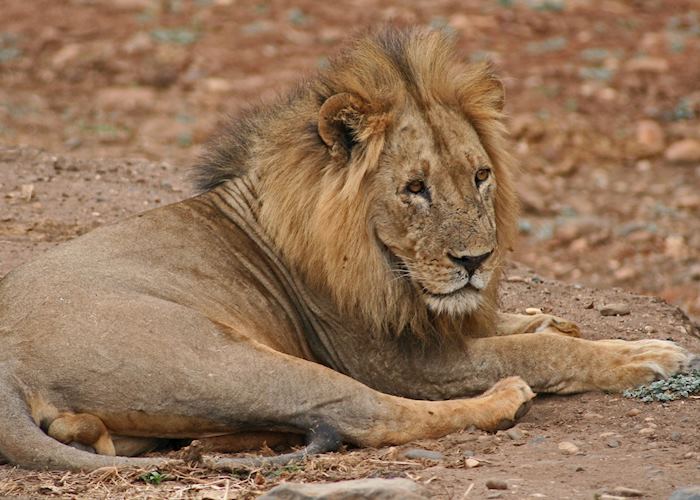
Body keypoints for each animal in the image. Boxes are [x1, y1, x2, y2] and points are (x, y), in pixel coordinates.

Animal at [0, 27, 695, 471]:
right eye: (415, 189)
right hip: (227, 357)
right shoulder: (397, 361)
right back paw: (504, 399)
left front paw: (537, 314)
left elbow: (512, 324)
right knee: (373, 415)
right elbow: (539, 350)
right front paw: (647, 354)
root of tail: (7, 368)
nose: (476, 262)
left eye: (480, 176)